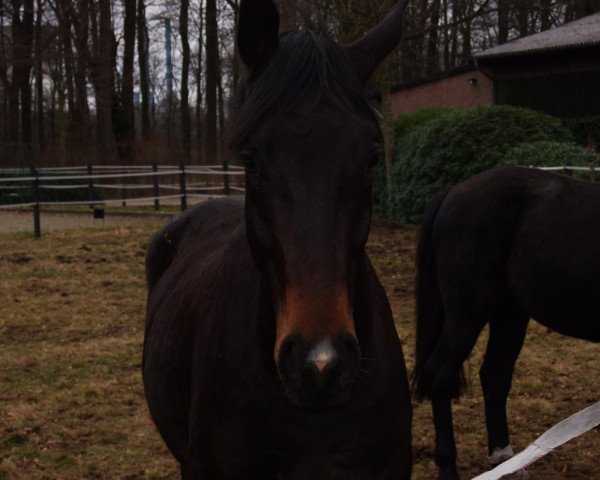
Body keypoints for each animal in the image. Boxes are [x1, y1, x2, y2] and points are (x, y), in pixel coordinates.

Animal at [412, 166, 600, 480]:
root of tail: (454, 192)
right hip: (468, 313)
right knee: (441, 372)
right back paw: (449, 466)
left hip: (509, 314)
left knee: (494, 376)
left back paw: (503, 458)